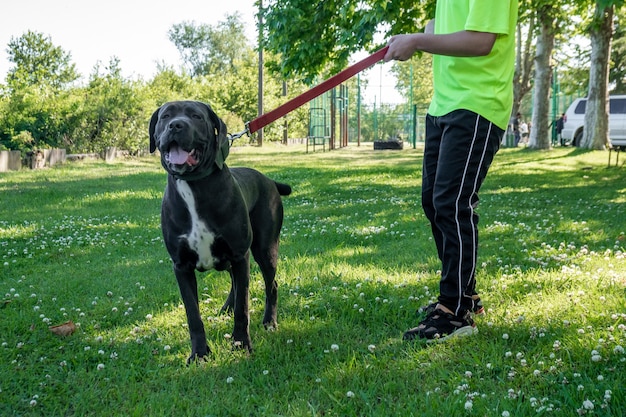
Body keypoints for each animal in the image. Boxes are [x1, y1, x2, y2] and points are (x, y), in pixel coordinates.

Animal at [149, 101, 290, 364]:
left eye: (196, 116)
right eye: (166, 116)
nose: (176, 125)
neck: (193, 185)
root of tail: (269, 180)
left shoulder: (239, 254)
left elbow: (243, 309)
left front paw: (241, 344)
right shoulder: (181, 266)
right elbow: (193, 315)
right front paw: (199, 353)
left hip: (265, 249)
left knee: (271, 285)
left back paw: (269, 322)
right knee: (236, 283)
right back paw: (227, 308)